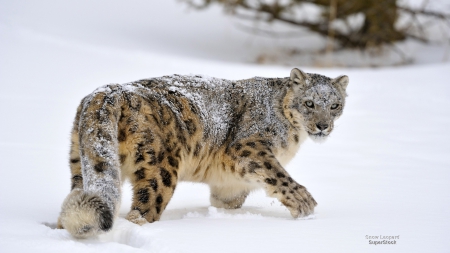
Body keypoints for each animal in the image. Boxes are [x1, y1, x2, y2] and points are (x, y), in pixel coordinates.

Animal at [58, 67, 350, 237]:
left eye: (335, 105)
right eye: (310, 103)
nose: (323, 125)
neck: (294, 136)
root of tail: (109, 92)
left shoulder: (231, 183)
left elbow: (229, 199)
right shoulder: (250, 146)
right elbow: (277, 174)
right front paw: (305, 205)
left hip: (82, 160)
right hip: (159, 171)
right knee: (141, 213)